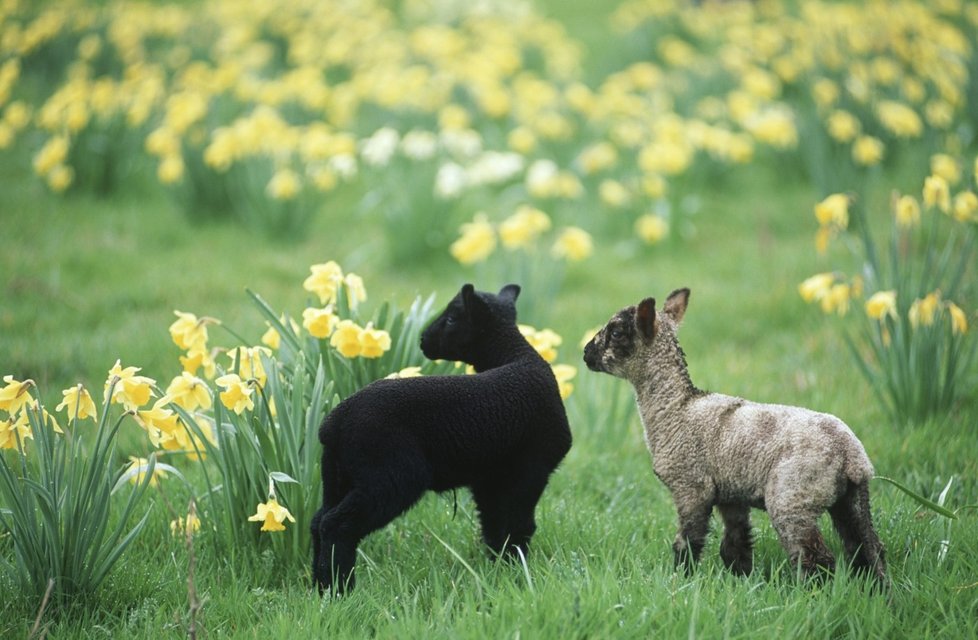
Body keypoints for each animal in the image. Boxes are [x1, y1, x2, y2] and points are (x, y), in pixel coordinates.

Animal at [310, 282, 572, 592]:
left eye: (451, 319)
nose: (423, 339)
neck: (517, 356)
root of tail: (332, 424)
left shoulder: (489, 479)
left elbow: (495, 526)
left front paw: (500, 569)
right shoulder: (531, 470)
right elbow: (520, 525)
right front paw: (518, 572)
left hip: (338, 476)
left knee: (318, 521)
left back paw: (320, 586)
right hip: (390, 475)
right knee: (336, 524)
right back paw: (341, 588)